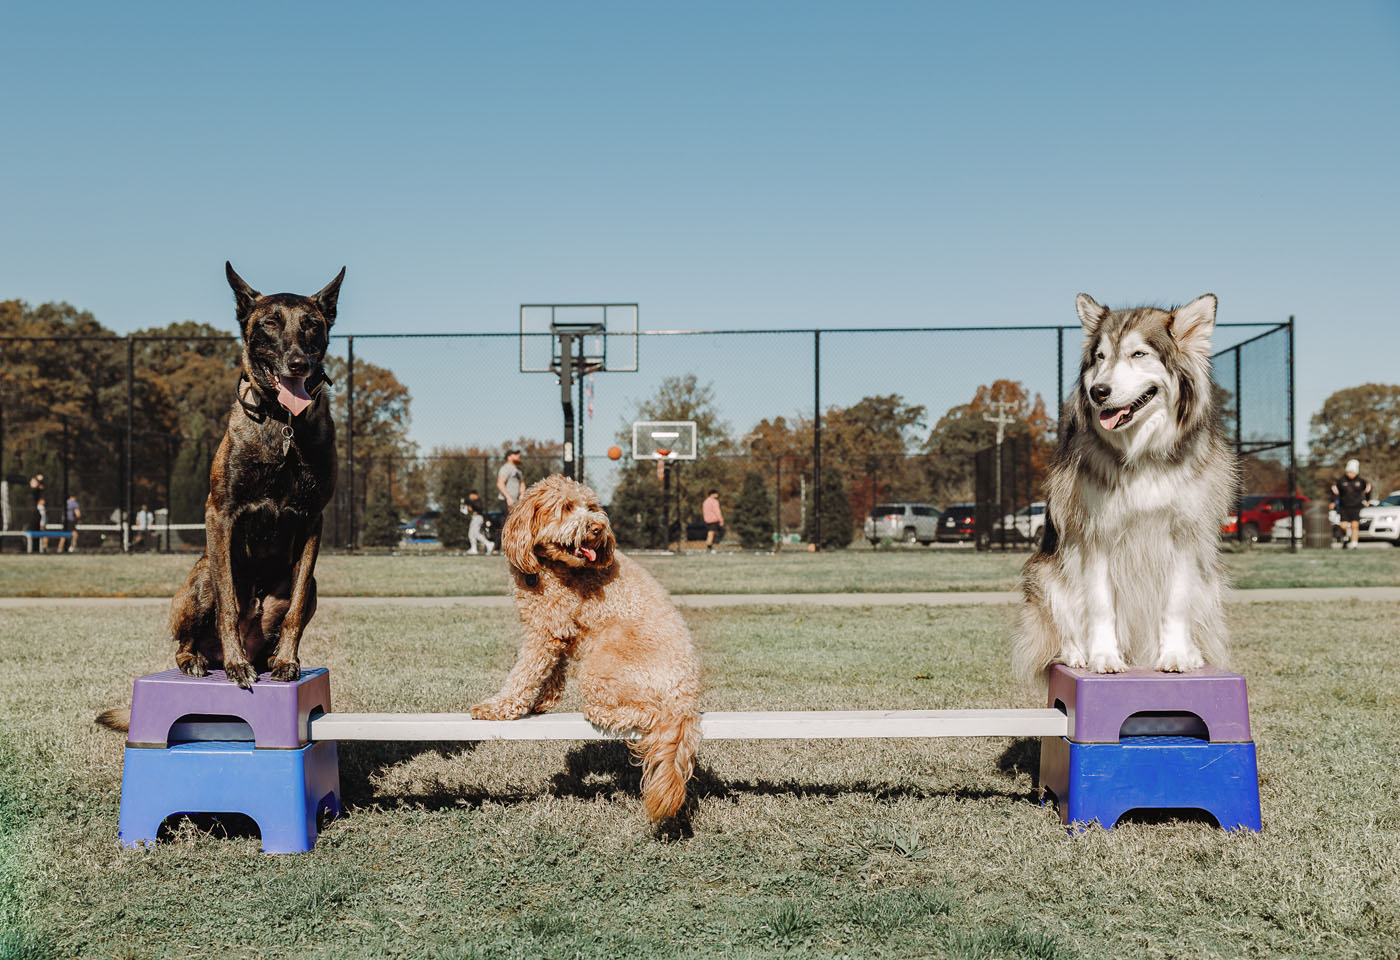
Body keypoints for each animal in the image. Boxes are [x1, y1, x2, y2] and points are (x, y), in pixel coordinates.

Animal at [473, 478, 700, 822]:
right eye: (567, 508)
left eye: (592, 507)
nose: (597, 528)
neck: (549, 565)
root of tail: (686, 695)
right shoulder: (558, 630)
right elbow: (551, 670)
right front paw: (542, 701)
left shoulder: (545, 627)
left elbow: (524, 674)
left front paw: (497, 707)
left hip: (600, 668)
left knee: (649, 712)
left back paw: (603, 712)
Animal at [1019, 296, 1237, 680]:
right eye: (1100, 357)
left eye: (1138, 354)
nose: (1098, 392)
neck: (1143, 453)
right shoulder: (1095, 536)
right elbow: (1101, 606)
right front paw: (1104, 657)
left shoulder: (1184, 535)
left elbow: (1176, 605)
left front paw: (1176, 655)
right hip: (1046, 574)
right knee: (1065, 624)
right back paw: (1076, 653)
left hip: (1208, 580)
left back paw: (1192, 653)